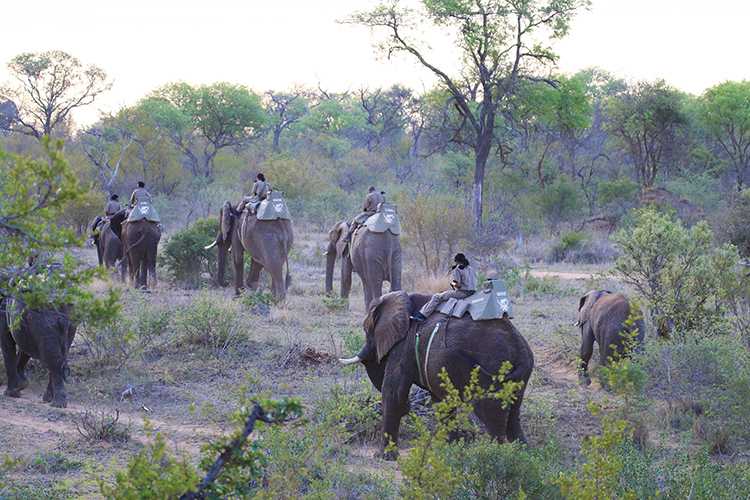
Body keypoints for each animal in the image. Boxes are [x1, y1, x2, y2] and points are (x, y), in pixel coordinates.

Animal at [340, 290, 536, 460]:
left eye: (365, 330)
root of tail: (520, 349)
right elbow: (442, 402)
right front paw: (452, 452)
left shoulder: (404, 345)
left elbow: (395, 392)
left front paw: (382, 457)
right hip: (522, 372)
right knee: (514, 415)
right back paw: (526, 457)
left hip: (493, 370)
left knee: (491, 416)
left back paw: (498, 456)